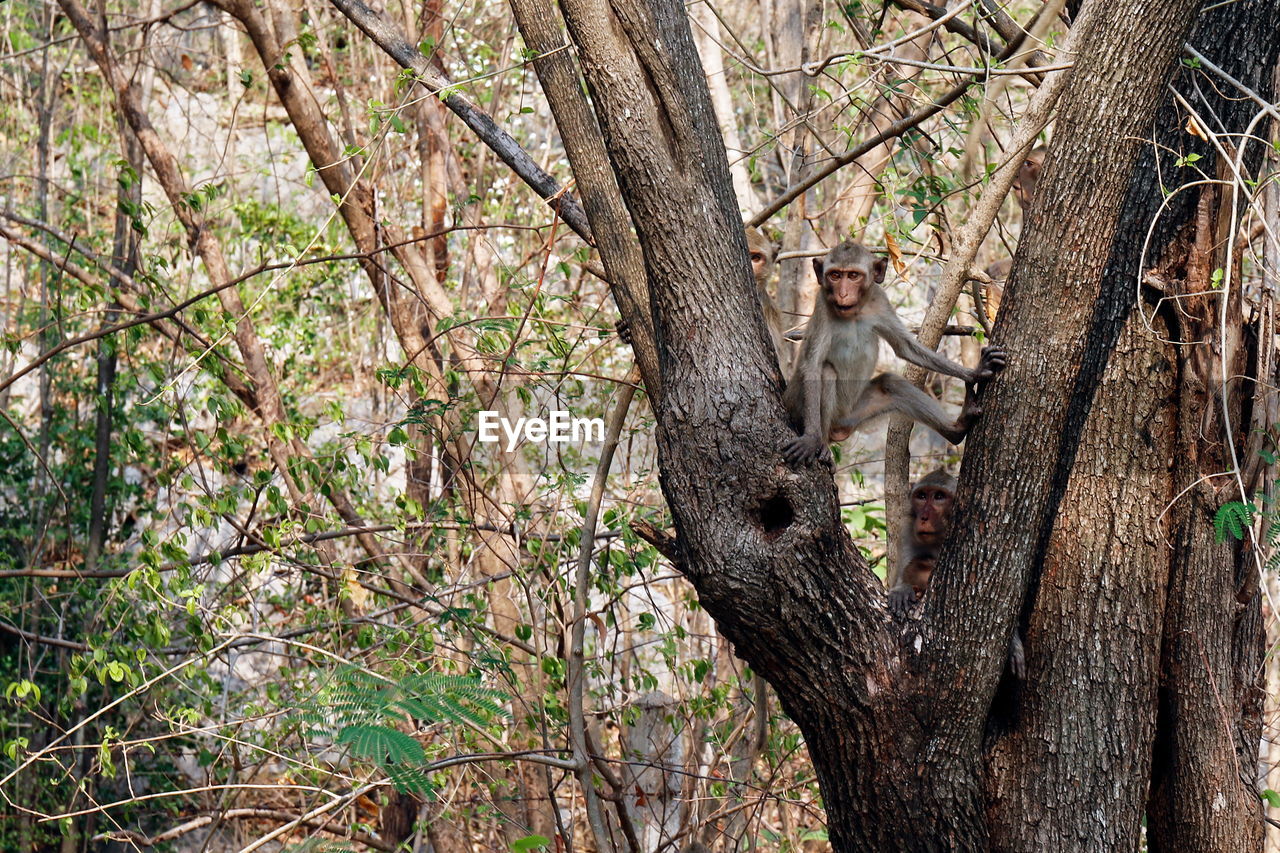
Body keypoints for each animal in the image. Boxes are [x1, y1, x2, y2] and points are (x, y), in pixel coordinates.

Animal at [778, 239, 1008, 466]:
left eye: (853, 275)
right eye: (834, 275)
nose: (843, 294)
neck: (854, 312)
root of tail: (839, 429)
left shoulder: (880, 300)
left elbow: (905, 347)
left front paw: (976, 372)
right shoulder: (822, 305)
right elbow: (812, 365)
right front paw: (811, 438)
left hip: (854, 414)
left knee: (890, 383)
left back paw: (957, 428)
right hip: (798, 405)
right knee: (826, 372)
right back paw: (823, 443)